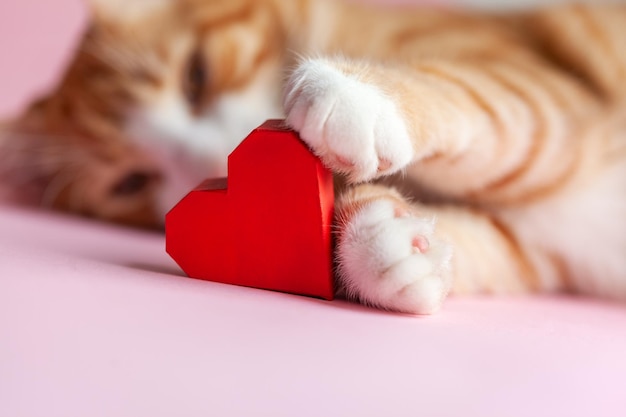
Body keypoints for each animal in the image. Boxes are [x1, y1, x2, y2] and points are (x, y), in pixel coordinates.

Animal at [1, 0, 624, 312]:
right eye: (131, 182)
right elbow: (483, 240)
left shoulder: (560, 96)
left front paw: (359, 93)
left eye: (196, 76)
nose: (214, 162)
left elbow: (484, 98)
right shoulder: (537, 244)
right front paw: (380, 244)